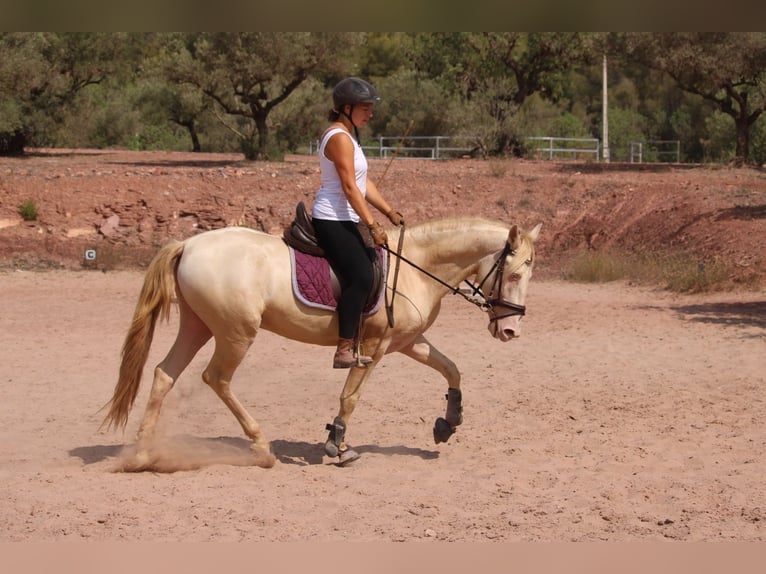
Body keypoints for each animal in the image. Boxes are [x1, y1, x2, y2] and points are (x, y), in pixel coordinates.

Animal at [102, 218, 544, 470]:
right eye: (515, 274)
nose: (511, 332)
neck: (418, 266)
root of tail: (189, 245)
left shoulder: (408, 341)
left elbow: (451, 368)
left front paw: (449, 422)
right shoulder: (374, 347)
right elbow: (350, 396)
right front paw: (338, 445)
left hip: (199, 327)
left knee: (164, 374)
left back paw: (142, 456)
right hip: (235, 332)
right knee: (217, 378)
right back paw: (261, 447)